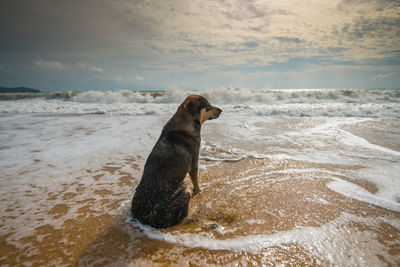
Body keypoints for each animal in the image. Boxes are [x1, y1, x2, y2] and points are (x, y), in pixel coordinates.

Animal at [130, 95, 222, 229]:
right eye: (208, 106)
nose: (221, 110)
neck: (186, 121)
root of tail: (149, 220)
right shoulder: (194, 163)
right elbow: (196, 183)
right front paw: (199, 191)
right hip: (184, 190)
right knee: (181, 219)